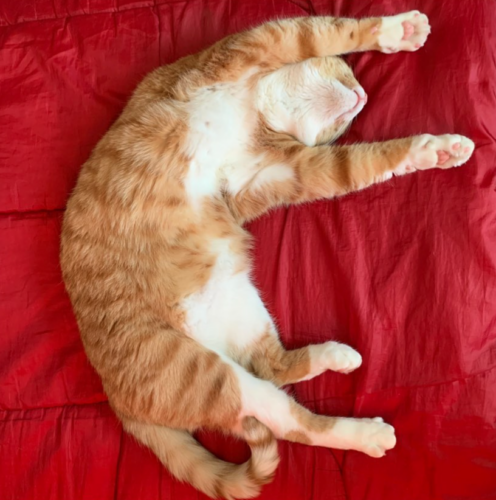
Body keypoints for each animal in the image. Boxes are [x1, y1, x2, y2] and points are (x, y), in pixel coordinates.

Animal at [60, 11, 474, 500]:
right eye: (349, 72)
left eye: (346, 126)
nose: (363, 94)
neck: (261, 107)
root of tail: (112, 395)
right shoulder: (256, 46)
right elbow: (331, 32)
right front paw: (399, 32)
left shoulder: (279, 173)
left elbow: (367, 162)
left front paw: (436, 150)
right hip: (207, 377)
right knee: (290, 424)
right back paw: (367, 434)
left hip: (239, 308)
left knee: (271, 368)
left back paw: (334, 357)